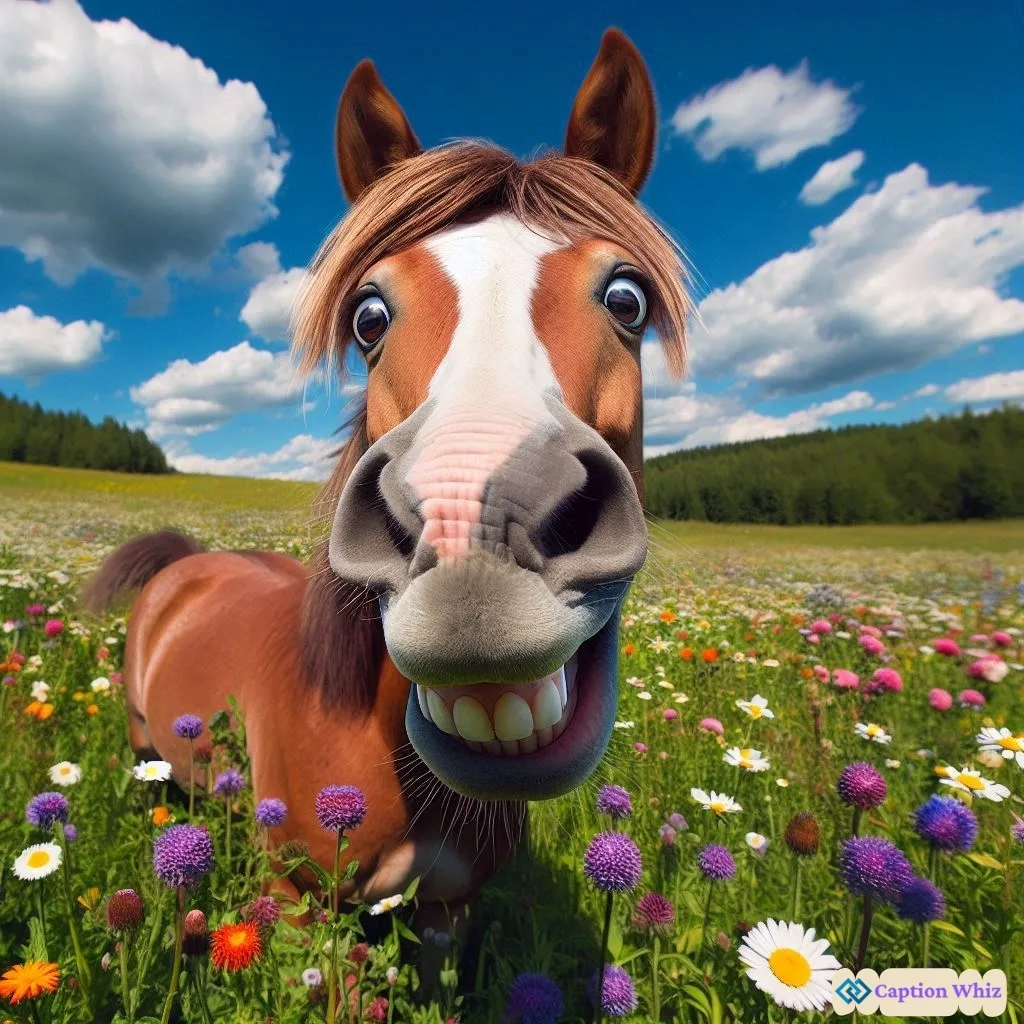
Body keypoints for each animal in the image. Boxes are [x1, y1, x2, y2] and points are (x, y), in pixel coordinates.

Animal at [82, 26, 689, 966]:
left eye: (628, 297)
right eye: (369, 314)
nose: (477, 529)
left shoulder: (448, 912)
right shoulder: (298, 903)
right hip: (147, 748)